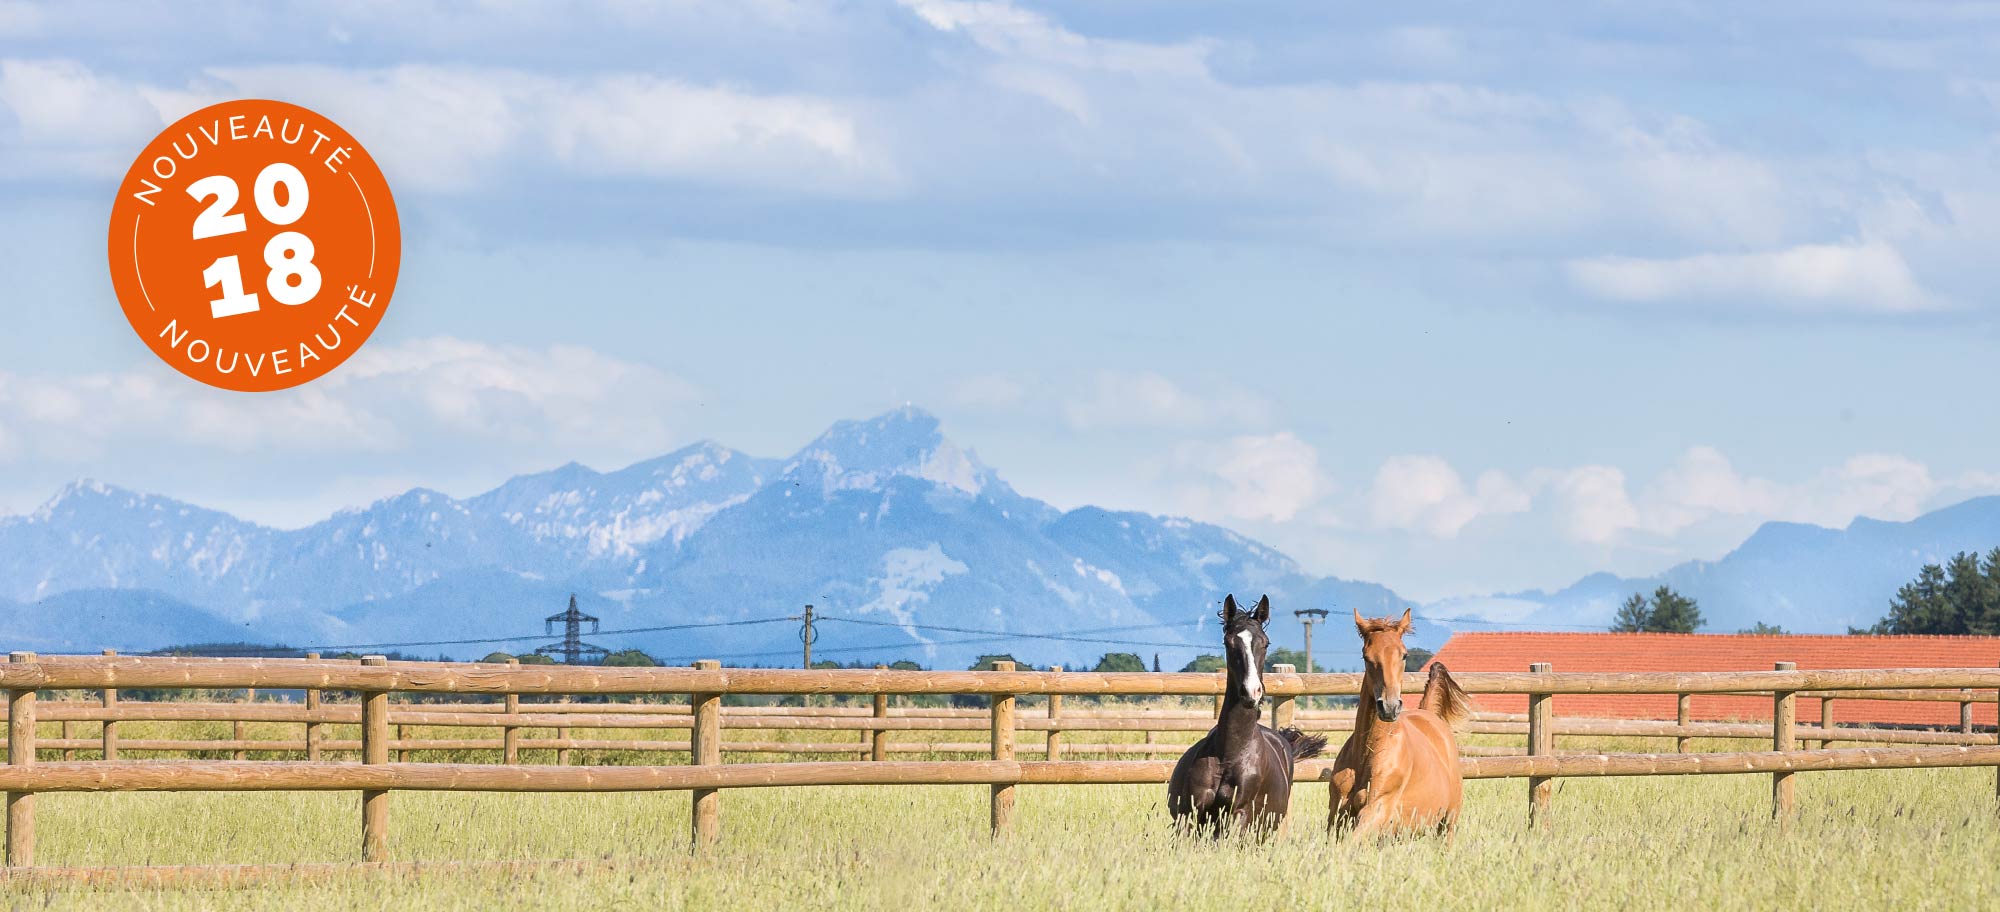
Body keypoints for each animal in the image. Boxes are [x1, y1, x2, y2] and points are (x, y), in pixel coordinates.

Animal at [1168, 596, 1328, 836]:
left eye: (1265, 643)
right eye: (1228, 642)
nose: (1250, 692)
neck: (1228, 756)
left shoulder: (1238, 815)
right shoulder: (1189, 815)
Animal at [1328, 608, 1472, 836]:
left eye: (1404, 655)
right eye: (1366, 657)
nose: (1389, 706)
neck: (1369, 753)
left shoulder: (1377, 808)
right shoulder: (1337, 813)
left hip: (1448, 822)